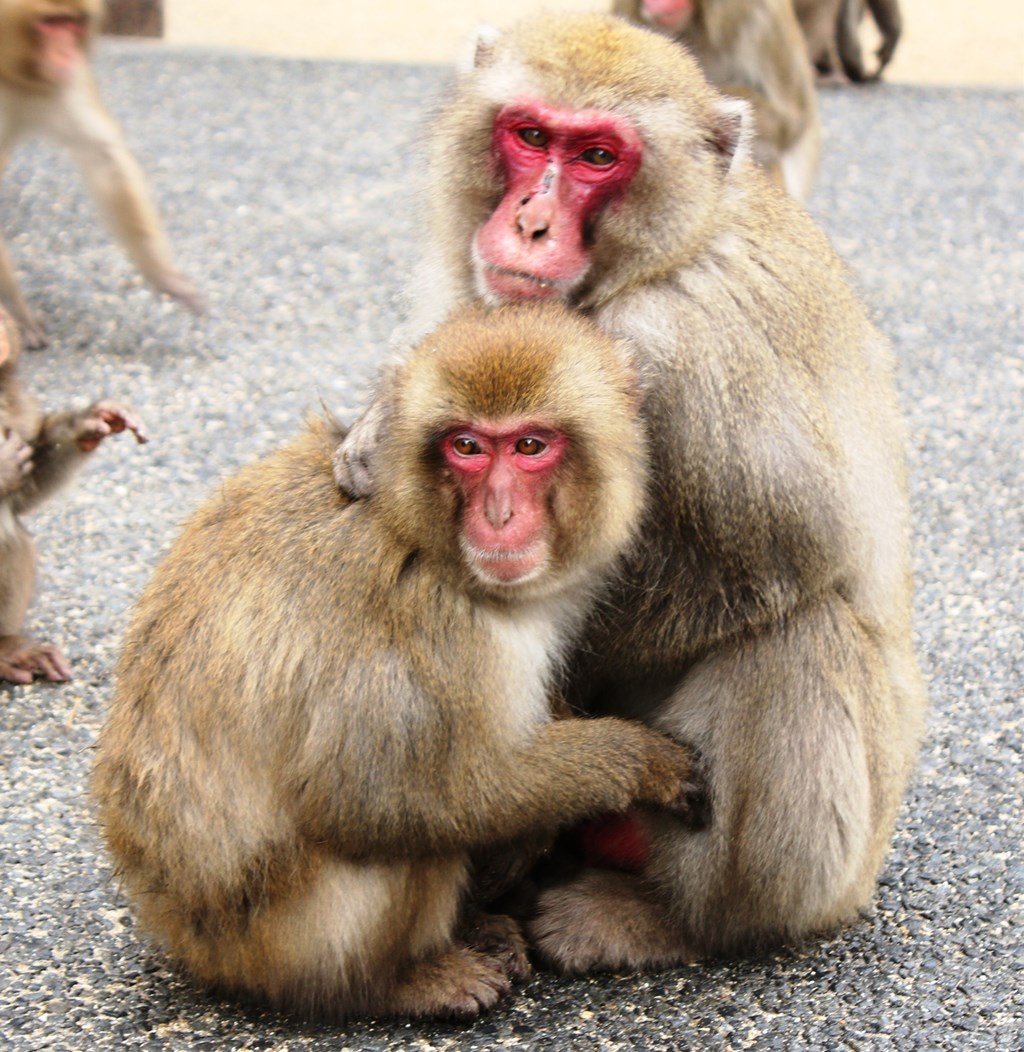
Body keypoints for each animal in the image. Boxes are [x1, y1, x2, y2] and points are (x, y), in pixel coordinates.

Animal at [0, 0, 203, 347]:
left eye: (73, 24)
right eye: (50, 23)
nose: (67, 54)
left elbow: (103, 156)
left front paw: (166, 278)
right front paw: (18, 313)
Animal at [92, 302, 703, 1018]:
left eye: (530, 446)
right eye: (466, 447)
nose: (499, 514)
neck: (423, 532)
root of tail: (181, 932)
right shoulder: (425, 620)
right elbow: (379, 797)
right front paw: (635, 761)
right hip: (289, 936)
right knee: (407, 834)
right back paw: (398, 981)